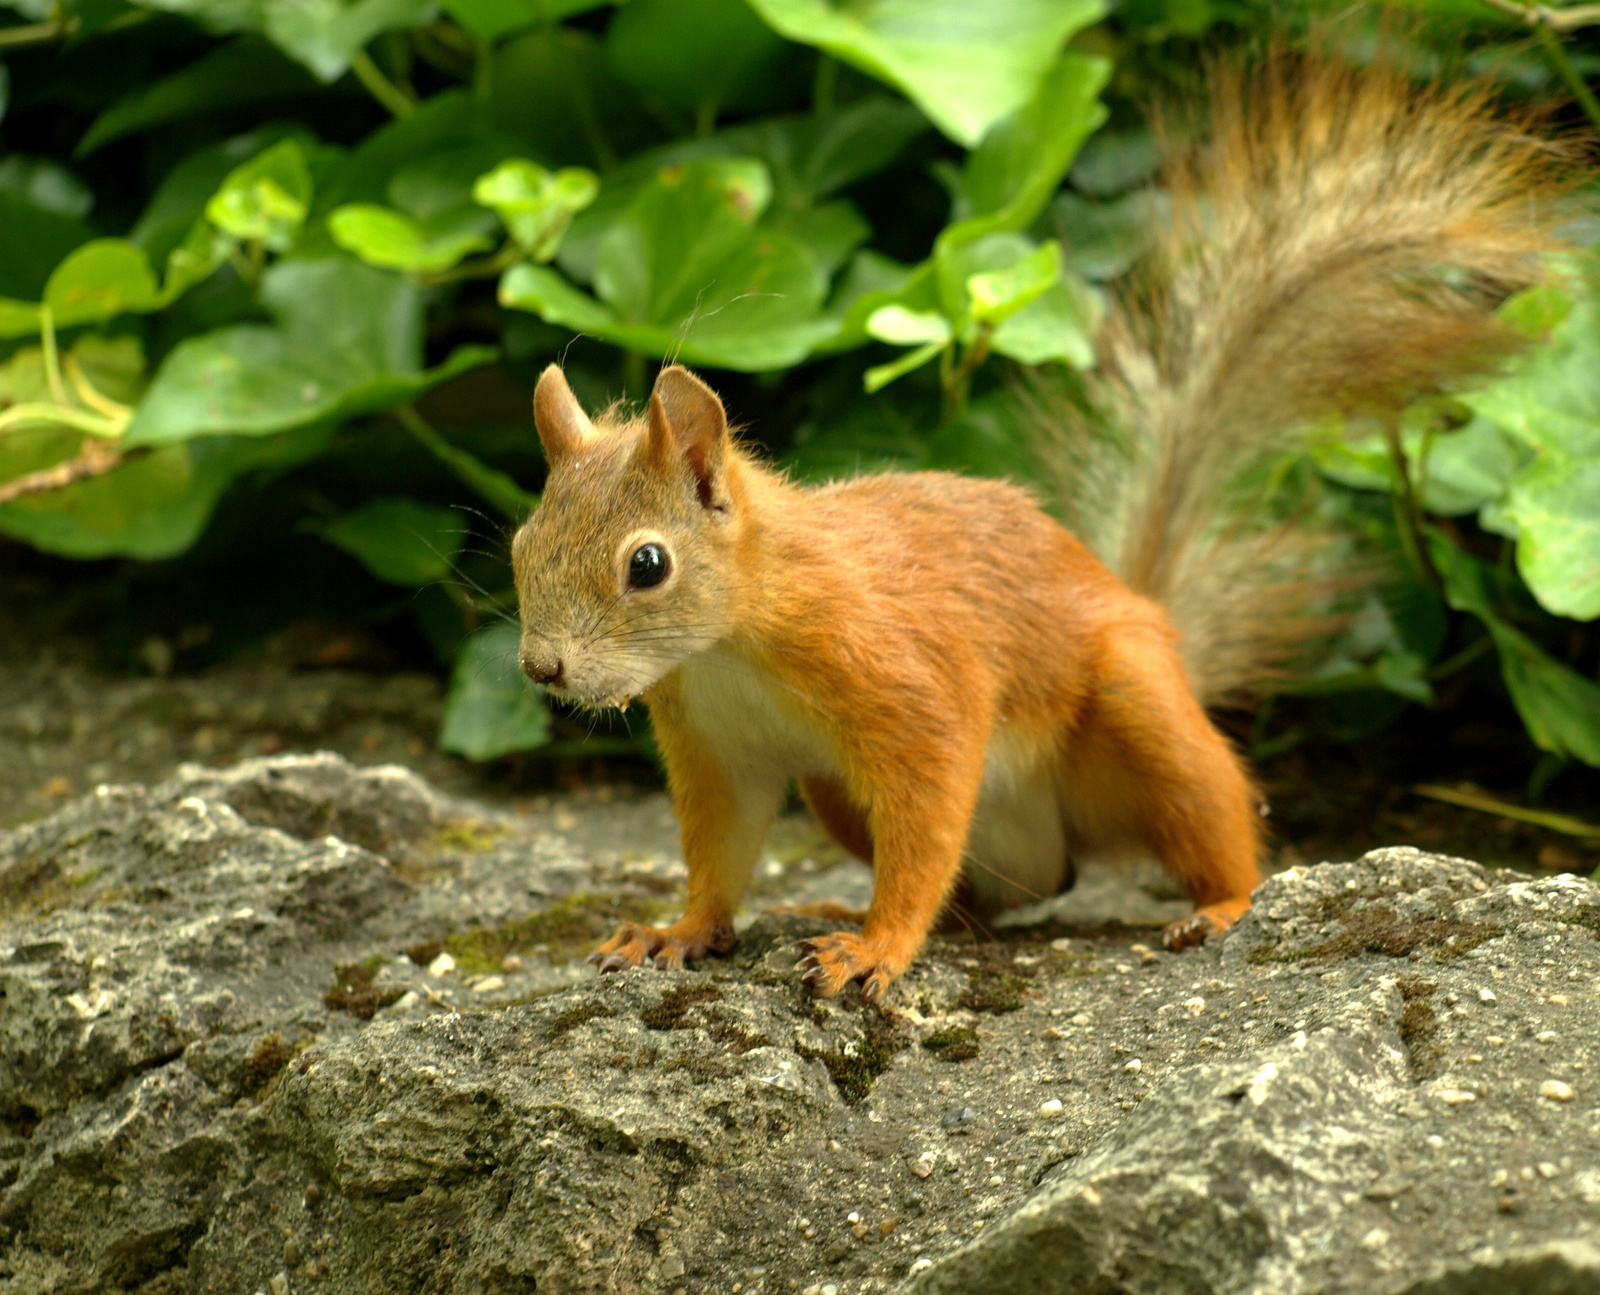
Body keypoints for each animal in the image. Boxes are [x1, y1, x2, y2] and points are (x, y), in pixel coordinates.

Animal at [508, 53, 1561, 998]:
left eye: (648, 564)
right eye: (523, 544)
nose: (542, 669)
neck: (732, 645)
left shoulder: (907, 686)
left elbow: (927, 816)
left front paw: (878, 948)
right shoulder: (719, 748)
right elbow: (721, 852)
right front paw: (681, 930)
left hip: (1139, 710)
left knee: (1210, 822)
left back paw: (1218, 908)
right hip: (841, 796)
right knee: (995, 897)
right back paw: (854, 904)